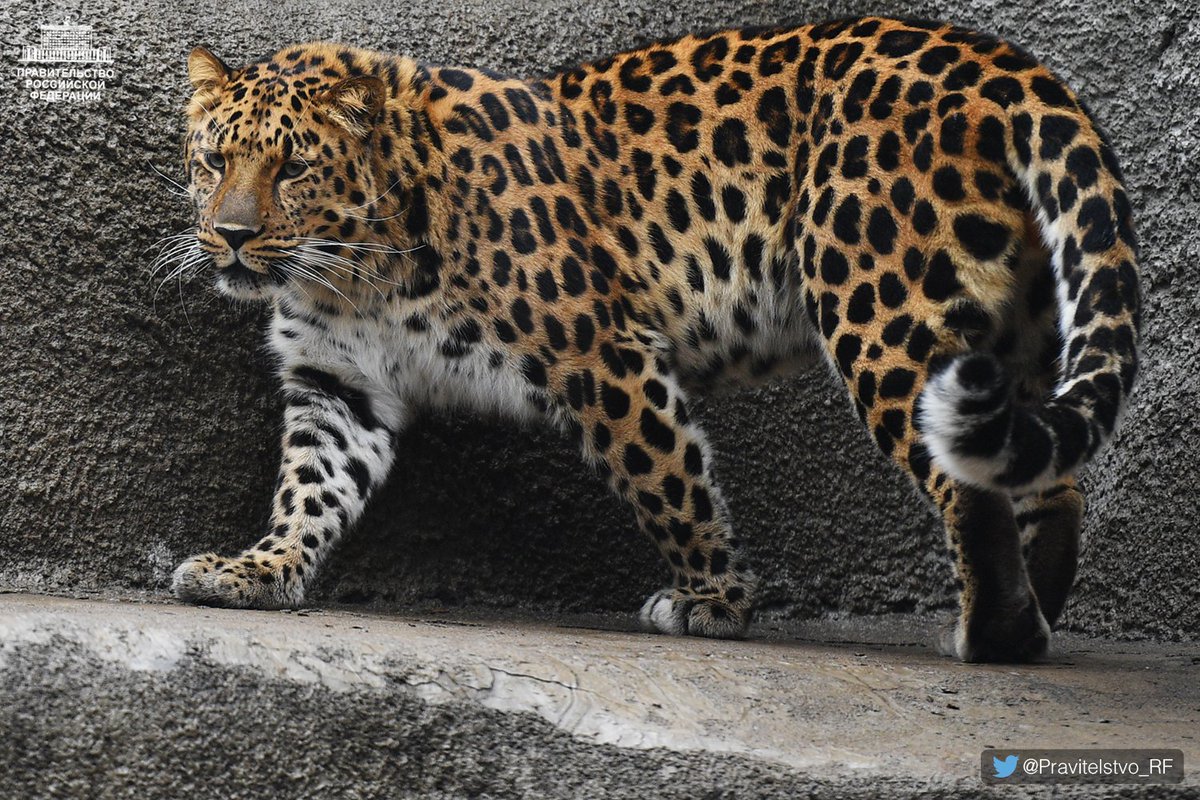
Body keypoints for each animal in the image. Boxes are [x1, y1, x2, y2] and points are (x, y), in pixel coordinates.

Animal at [166, 15, 1132, 662]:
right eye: (214, 160)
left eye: (292, 167)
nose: (232, 236)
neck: (352, 271)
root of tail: (995, 59)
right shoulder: (339, 385)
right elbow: (311, 490)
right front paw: (257, 571)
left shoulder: (602, 353)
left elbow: (671, 480)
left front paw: (714, 601)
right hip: (1015, 326)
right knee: (1045, 477)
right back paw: (1033, 623)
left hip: (881, 308)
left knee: (968, 481)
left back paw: (991, 633)